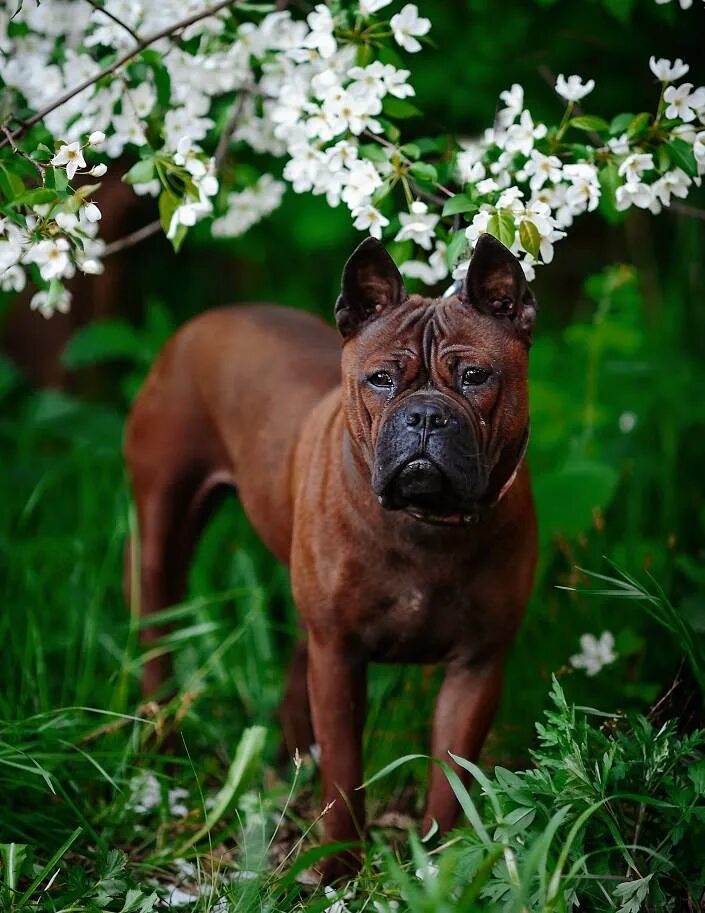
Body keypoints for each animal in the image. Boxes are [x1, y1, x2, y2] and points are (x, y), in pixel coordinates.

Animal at [122, 233, 540, 876]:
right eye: (381, 379)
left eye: (475, 375)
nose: (425, 414)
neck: (428, 525)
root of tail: (206, 321)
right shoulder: (340, 655)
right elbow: (345, 770)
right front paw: (338, 863)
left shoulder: (476, 666)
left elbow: (451, 775)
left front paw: (440, 863)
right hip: (163, 537)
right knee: (157, 642)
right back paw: (161, 748)